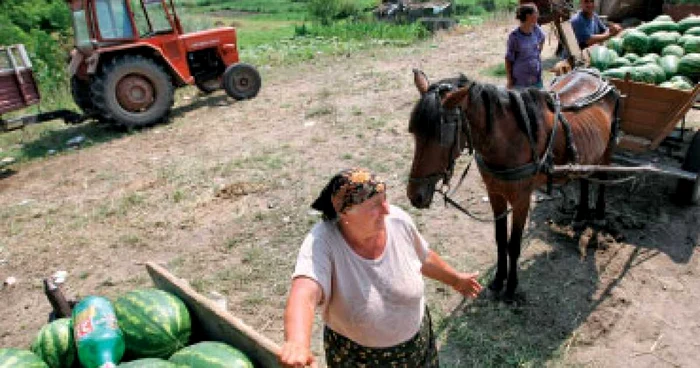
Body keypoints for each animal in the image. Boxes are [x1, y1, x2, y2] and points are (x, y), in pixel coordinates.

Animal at [408, 69, 620, 302]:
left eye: (441, 136)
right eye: (414, 132)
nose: (415, 195)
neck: (510, 141)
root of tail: (595, 74)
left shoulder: (521, 200)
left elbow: (514, 244)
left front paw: (510, 288)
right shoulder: (495, 194)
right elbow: (501, 239)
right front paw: (498, 280)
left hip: (606, 152)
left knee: (602, 179)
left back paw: (599, 216)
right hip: (586, 155)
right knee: (584, 179)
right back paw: (581, 216)